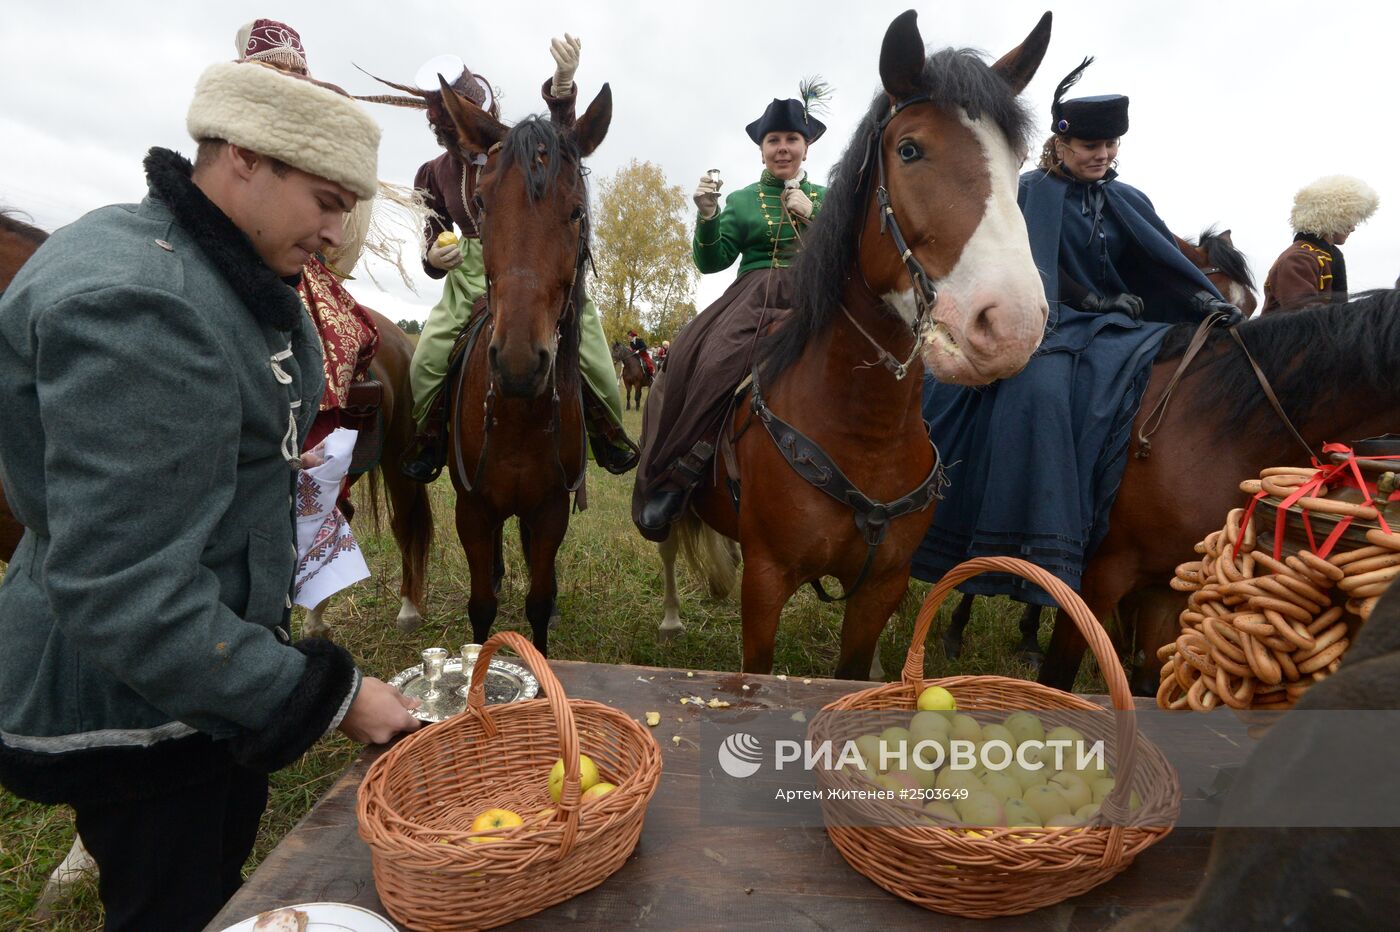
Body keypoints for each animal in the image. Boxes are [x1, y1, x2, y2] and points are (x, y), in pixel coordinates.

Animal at [431, 76, 613, 649]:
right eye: (482, 203)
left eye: (576, 211)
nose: (517, 364)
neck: (515, 417)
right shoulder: (472, 511)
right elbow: (481, 607)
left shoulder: (551, 511)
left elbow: (539, 600)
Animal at [660, 9, 1052, 674]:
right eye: (909, 149)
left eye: (1017, 157)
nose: (1012, 325)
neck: (866, 431)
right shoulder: (766, 581)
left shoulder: (880, 588)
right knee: (663, 543)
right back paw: (670, 616)